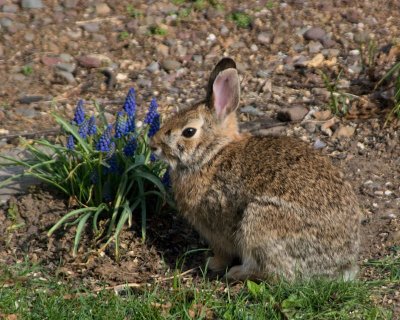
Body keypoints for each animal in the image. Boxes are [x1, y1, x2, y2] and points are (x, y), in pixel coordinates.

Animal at [151, 58, 362, 282]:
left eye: (189, 131)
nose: (153, 144)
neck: (212, 155)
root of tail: (340, 266)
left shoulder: (217, 228)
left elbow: (223, 252)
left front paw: (212, 263)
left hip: (261, 225)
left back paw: (236, 272)